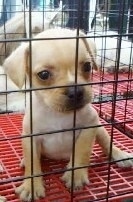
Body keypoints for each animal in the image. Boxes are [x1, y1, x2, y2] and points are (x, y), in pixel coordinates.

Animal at [3, 28, 133, 200]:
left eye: (87, 66)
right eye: (43, 75)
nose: (75, 91)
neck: (59, 114)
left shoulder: (89, 126)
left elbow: (81, 150)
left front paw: (75, 174)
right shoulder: (30, 137)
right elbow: (33, 163)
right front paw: (31, 185)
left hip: (100, 129)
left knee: (108, 143)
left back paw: (120, 155)